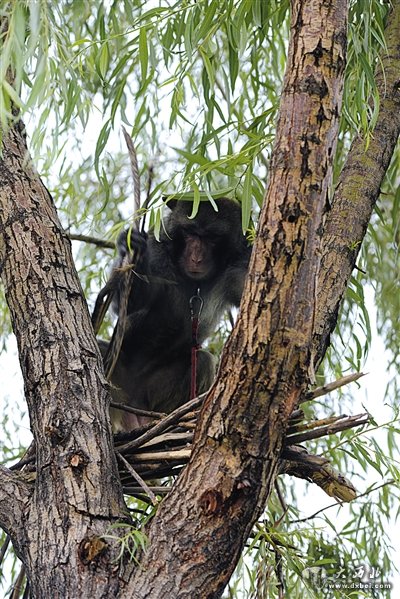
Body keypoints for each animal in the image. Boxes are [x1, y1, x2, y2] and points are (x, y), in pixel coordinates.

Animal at [97, 198, 250, 432]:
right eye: (189, 232)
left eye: (211, 237)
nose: (195, 258)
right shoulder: (158, 249)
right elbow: (131, 305)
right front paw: (133, 250)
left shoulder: (239, 263)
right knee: (100, 350)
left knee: (202, 361)